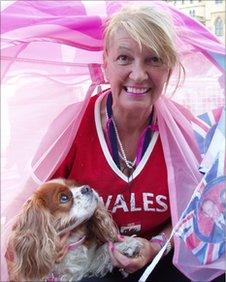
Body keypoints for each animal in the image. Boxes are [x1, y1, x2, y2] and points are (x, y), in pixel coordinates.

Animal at [6, 180, 141, 280]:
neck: (71, 240)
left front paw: (126, 245)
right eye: (64, 198)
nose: (87, 188)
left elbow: (103, 251)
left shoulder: (85, 267)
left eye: (75, 185)